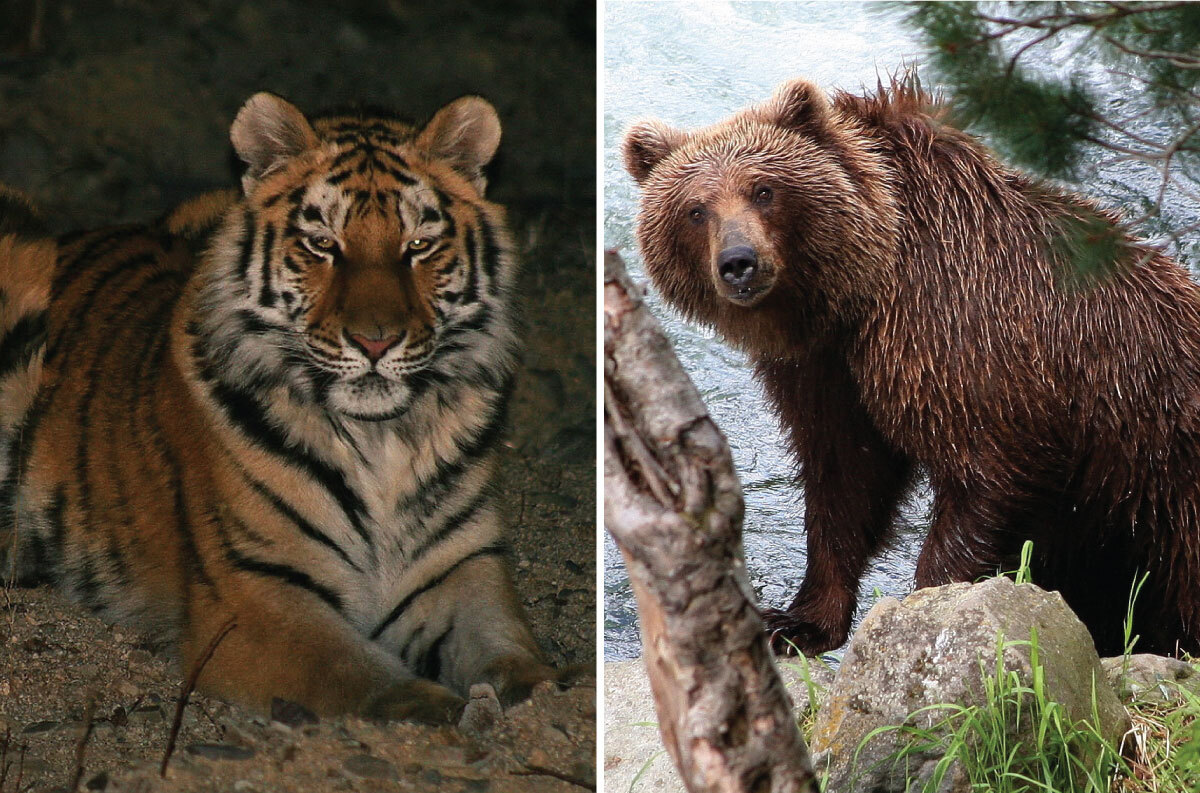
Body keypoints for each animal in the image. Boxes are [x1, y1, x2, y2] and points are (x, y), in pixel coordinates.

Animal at [0, 89, 561, 719]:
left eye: (418, 245)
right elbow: (360, 676)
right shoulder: (252, 597)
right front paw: (440, 714)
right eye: (322, 244)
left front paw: (547, 700)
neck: (382, 441)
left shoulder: (463, 566)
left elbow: (509, 647)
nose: (375, 342)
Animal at [624, 77, 1200, 657]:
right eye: (696, 209)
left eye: (763, 189)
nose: (739, 262)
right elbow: (845, 476)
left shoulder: (970, 336)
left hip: (1162, 472)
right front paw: (797, 622)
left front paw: (930, 605)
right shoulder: (826, 367)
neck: (864, 287)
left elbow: (985, 473)